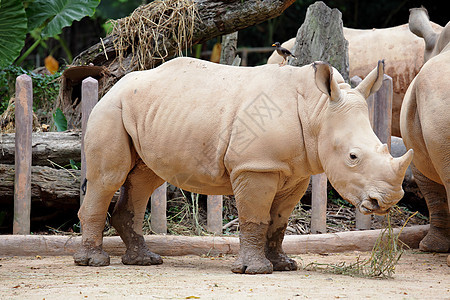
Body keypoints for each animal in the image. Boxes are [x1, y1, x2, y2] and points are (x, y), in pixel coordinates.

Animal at [75, 56, 414, 274]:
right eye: (353, 157)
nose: (389, 200)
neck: (317, 111)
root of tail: (113, 85)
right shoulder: (256, 166)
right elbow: (255, 217)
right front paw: (256, 270)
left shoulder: (295, 172)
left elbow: (278, 221)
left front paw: (283, 266)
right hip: (110, 110)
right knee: (108, 178)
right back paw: (94, 263)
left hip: (147, 111)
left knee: (144, 179)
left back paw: (145, 260)